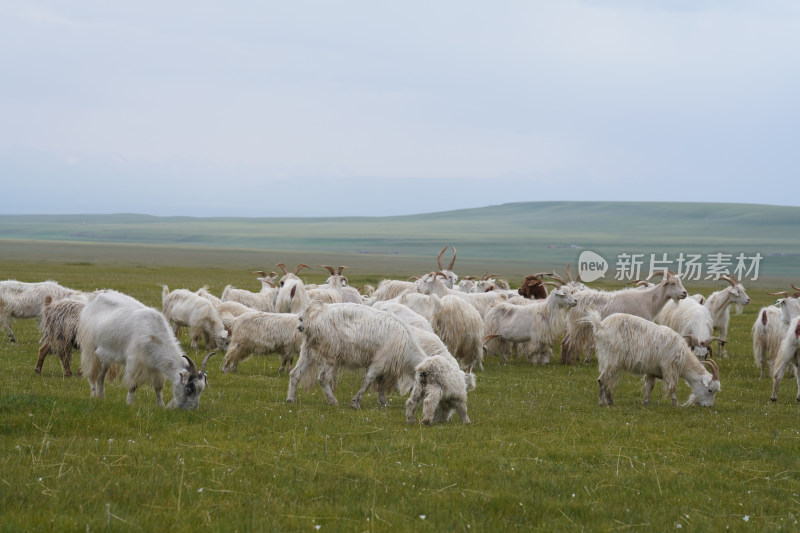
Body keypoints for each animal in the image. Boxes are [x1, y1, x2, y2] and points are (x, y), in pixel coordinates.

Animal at [78, 288, 214, 410]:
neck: (155, 336)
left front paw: (161, 405)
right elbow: (133, 385)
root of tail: (95, 295)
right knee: (91, 373)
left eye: (201, 390)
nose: (191, 410)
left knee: (100, 377)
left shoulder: (157, 368)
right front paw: (129, 404)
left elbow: (158, 387)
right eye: (189, 389)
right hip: (90, 346)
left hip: (106, 355)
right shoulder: (136, 363)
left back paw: (102, 398)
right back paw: (93, 395)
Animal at [284, 302, 428, 410]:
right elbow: (369, 380)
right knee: (323, 379)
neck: (408, 350)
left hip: (307, 351)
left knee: (295, 374)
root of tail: (310, 317)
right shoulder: (380, 361)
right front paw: (355, 402)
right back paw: (333, 402)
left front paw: (383, 402)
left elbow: (380, 384)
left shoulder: (384, 366)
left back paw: (291, 399)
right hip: (330, 354)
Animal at [584, 310, 720, 406]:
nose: (709, 406)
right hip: (612, 359)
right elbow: (672, 386)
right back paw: (603, 403)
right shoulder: (669, 368)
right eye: (710, 390)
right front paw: (676, 404)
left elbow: (650, 386)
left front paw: (646, 402)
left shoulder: (652, 371)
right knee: (602, 380)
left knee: (608, 380)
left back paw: (611, 401)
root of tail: (600, 325)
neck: (683, 359)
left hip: (608, 361)